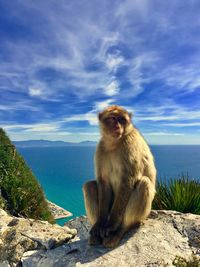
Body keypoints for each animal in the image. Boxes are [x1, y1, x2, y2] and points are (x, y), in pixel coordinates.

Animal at [82, 105, 156, 249]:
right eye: (112, 119)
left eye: (122, 120)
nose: (117, 127)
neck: (114, 143)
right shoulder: (101, 149)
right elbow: (103, 182)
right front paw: (100, 224)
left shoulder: (130, 144)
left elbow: (128, 181)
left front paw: (111, 226)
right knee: (89, 185)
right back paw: (96, 234)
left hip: (143, 214)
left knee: (144, 183)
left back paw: (120, 230)